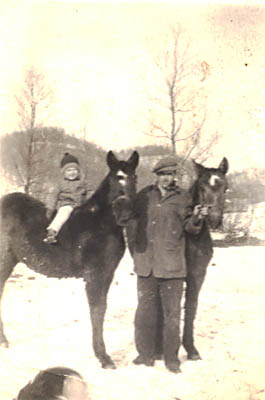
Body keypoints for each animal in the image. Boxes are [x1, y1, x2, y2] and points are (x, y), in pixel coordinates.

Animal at [0, 150, 139, 368]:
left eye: (135, 177)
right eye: (117, 177)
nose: (127, 214)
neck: (101, 223)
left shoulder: (107, 274)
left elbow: (100, 309)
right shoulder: (95, 274)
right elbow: (97, 310)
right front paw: (104, 357)